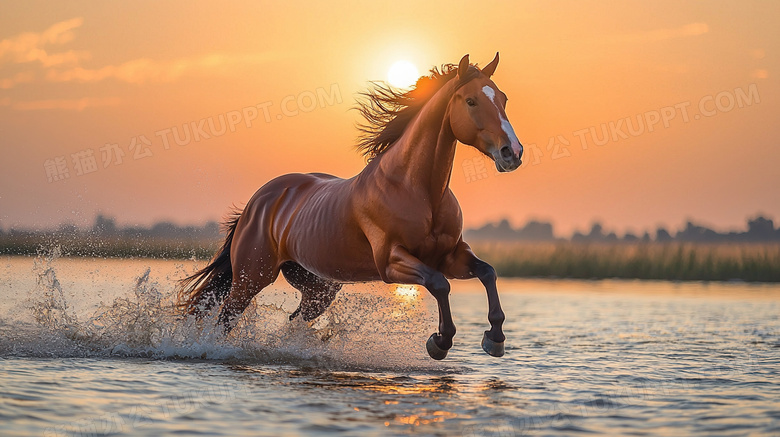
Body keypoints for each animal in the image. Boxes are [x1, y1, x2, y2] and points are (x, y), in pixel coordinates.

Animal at [177, 53, 523, 360]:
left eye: (504, 99)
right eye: (471, 101)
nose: (512, 153)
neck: (418, 191)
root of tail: (257, 201)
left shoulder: (449, 256)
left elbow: (487, 272)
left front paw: (494, 339)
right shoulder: (391, 262)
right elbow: (439, 284)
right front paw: (440, 341)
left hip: (318, 288)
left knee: (293, 320)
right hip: (251, 278)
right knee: (225, 319)